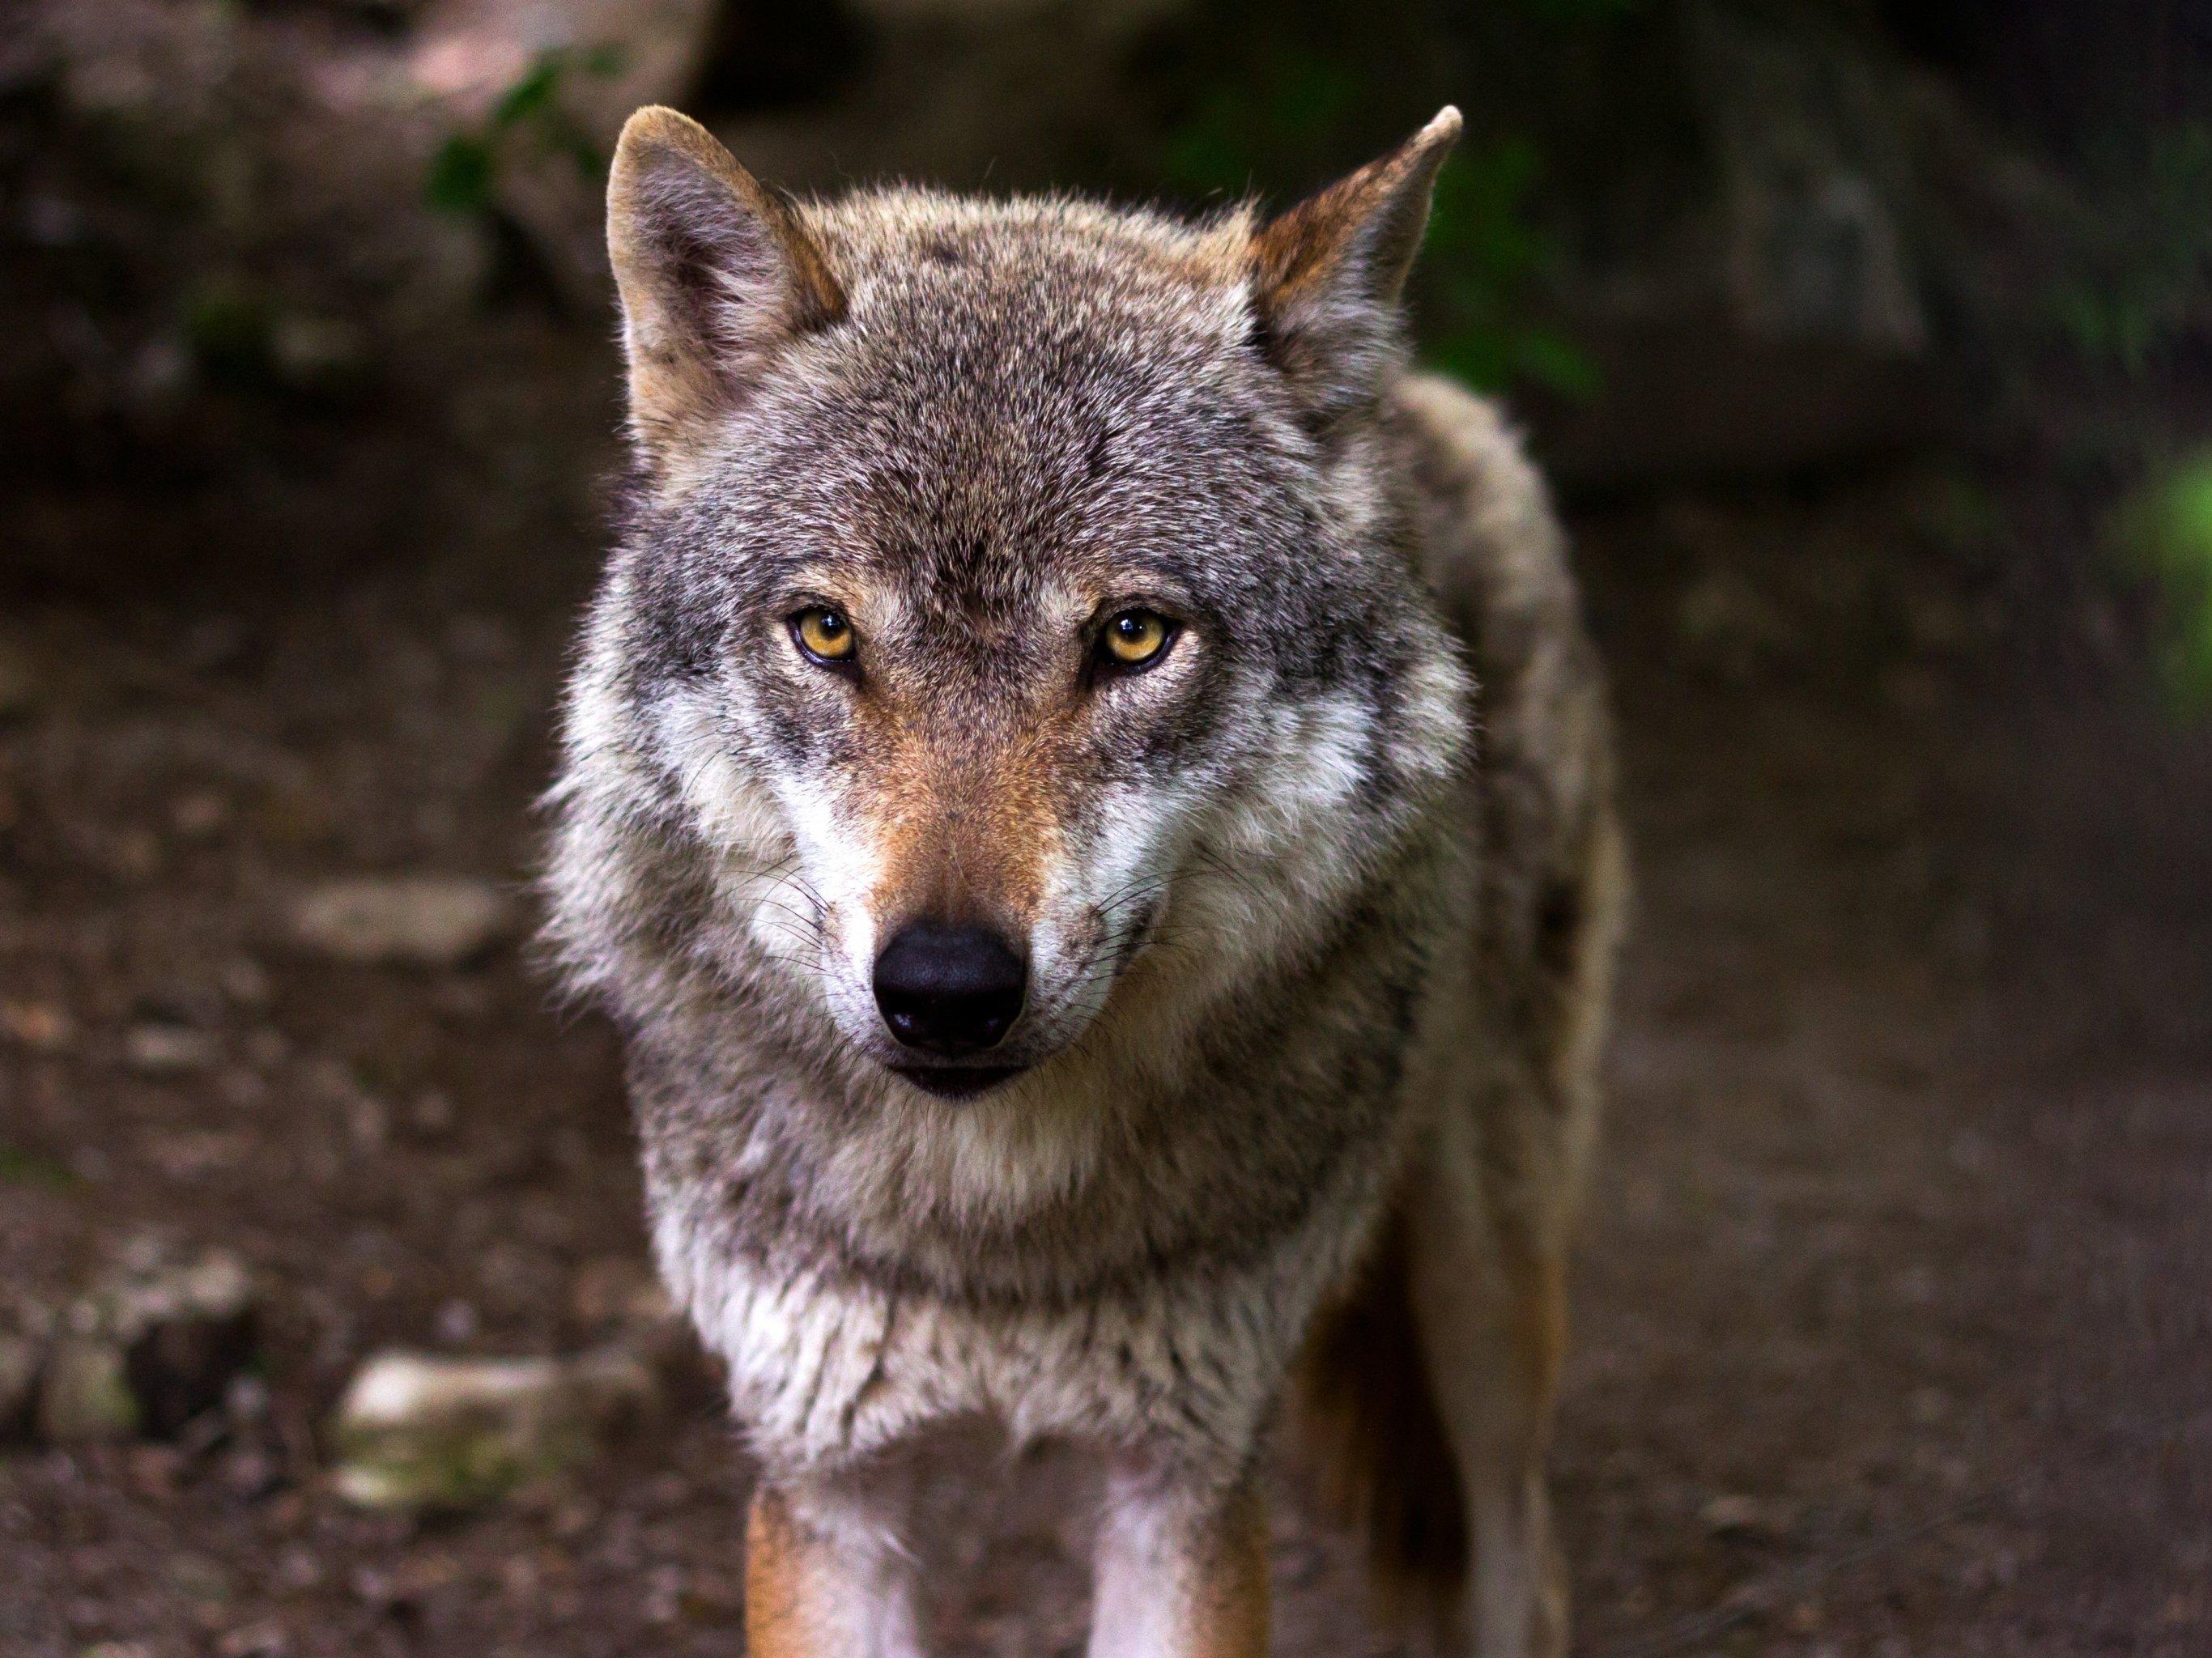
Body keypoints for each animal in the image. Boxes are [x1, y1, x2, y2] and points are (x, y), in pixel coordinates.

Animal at [543, 101, 1625, 1658]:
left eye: (1130, 637)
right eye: (825, 632)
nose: (945, 988)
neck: (994, 1231)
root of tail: (1415, 399)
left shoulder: (1182, 1480)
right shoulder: (825, 1481)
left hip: (1486, 1308)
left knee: (1522, 1562)